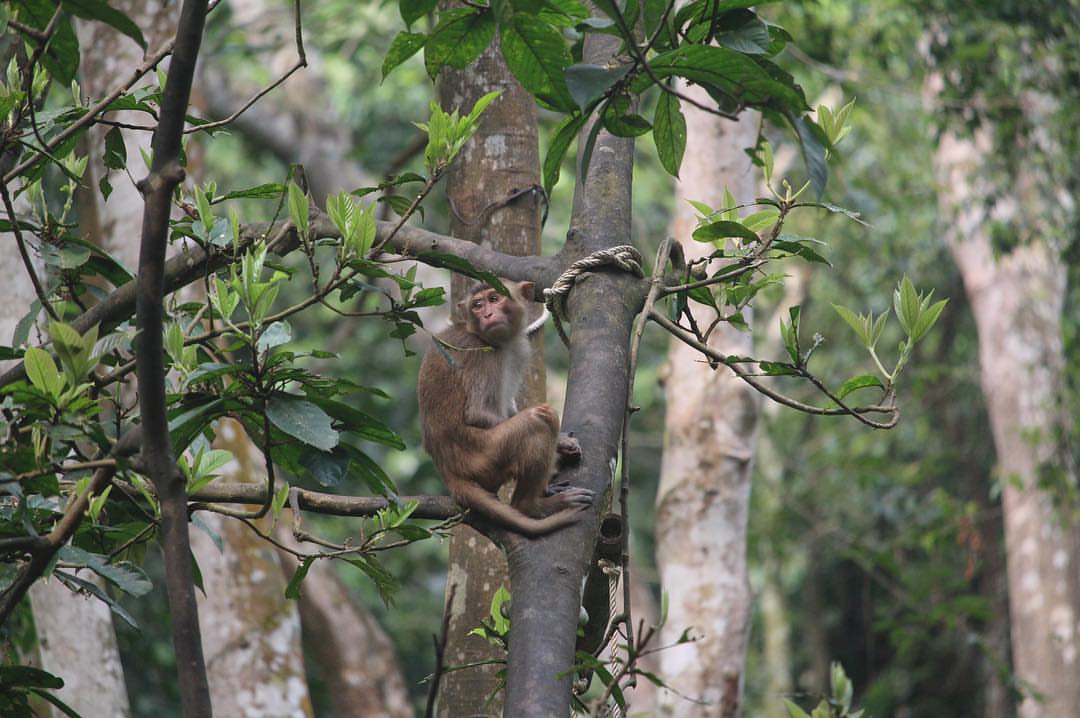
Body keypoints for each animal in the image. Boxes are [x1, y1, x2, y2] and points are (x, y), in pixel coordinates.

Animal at [416, 276, 596, 535]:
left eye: (494, 298)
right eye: (477, 305)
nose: (487, 314)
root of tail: (447, 470)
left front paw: (563, 442)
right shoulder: (481, 353)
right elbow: (479, 414)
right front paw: (558, 447)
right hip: (484, 459)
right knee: (539, 421)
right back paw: (531, 506)